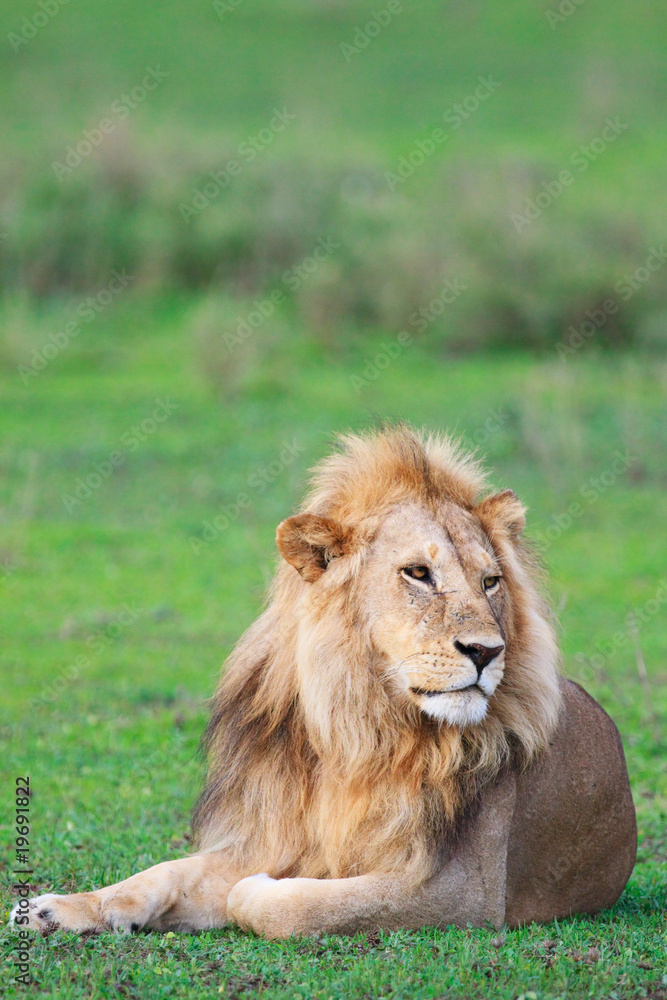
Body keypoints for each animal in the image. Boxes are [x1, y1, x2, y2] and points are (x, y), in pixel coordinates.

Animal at [12, 426, 636, 938]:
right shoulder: (273, 832)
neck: (356, 725)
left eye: (490, 582)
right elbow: (161, 873)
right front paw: (59, 908)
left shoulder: (465, 892)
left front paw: (261, 889)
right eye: (418, 573)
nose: (486, 651)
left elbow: (287, 904)